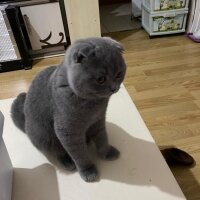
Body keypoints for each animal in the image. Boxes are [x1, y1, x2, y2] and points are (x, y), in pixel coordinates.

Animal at [10, 36, 126, 182]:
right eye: (101, 79)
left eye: (119, 74)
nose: (114, 88)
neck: (94, 105)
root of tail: (25, 124)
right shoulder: (68, 131)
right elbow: (79, 154)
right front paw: (88, 171)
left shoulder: (98, 120)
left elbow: (102, 138)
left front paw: (107, 152)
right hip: (44, 136)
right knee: (57, 150)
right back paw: (68, 162)